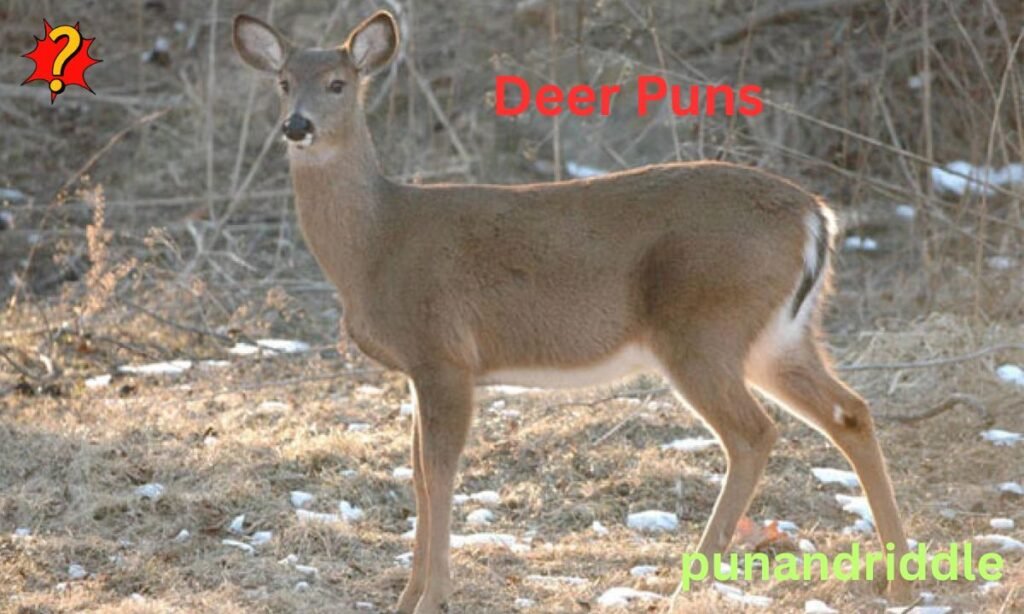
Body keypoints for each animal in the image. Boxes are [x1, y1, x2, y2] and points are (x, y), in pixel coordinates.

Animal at [233, 10, 912, 613]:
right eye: (284, 81)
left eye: (338, 83)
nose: (296, 126)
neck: (376, 244)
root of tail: (816, 216)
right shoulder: (417, 369)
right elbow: (419, 474)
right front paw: (406, 597)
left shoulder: (443, 354)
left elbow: (439, 472)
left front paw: (433, 598)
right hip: (779, 336)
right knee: (850, 412)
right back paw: (900, 581)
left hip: (703, 327)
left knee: (754, 433)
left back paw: (687, 586)